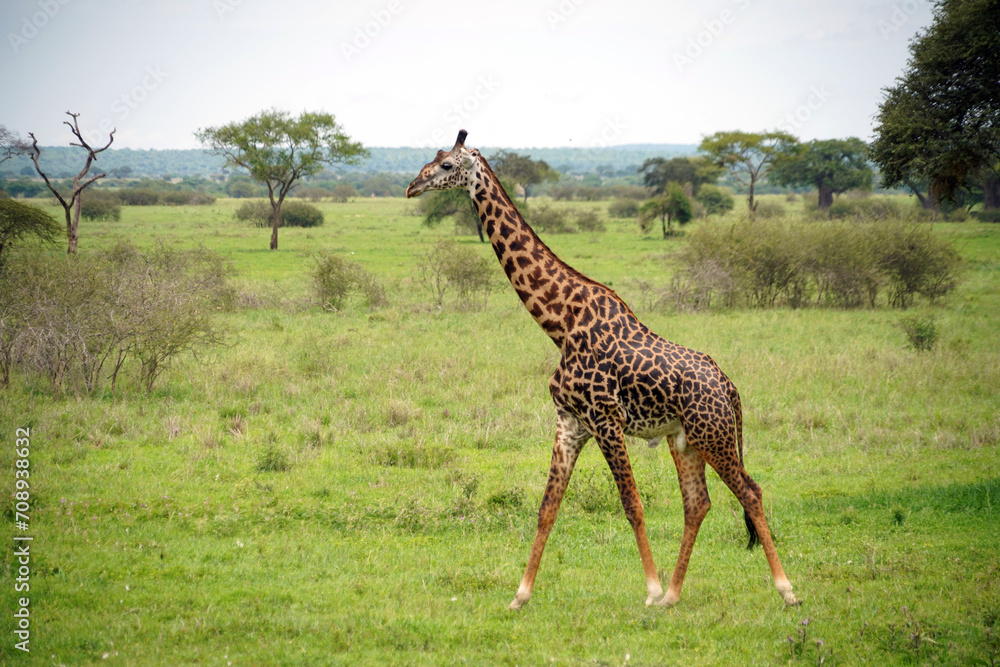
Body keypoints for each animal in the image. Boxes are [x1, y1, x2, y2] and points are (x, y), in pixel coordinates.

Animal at [406, 130, 800, 610]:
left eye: (446, 166)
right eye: (432, 159)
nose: (412, 187)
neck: (560, 324)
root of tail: (730, 387)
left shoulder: (605, 419)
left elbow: (631, 503)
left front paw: (649, 588)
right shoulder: (570, 422)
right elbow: (547, 507)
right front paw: (521, 595)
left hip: (715, 434)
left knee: (751, 492)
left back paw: (783, 589)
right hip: (685, 439)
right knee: (698, 502)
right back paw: (674, 596)